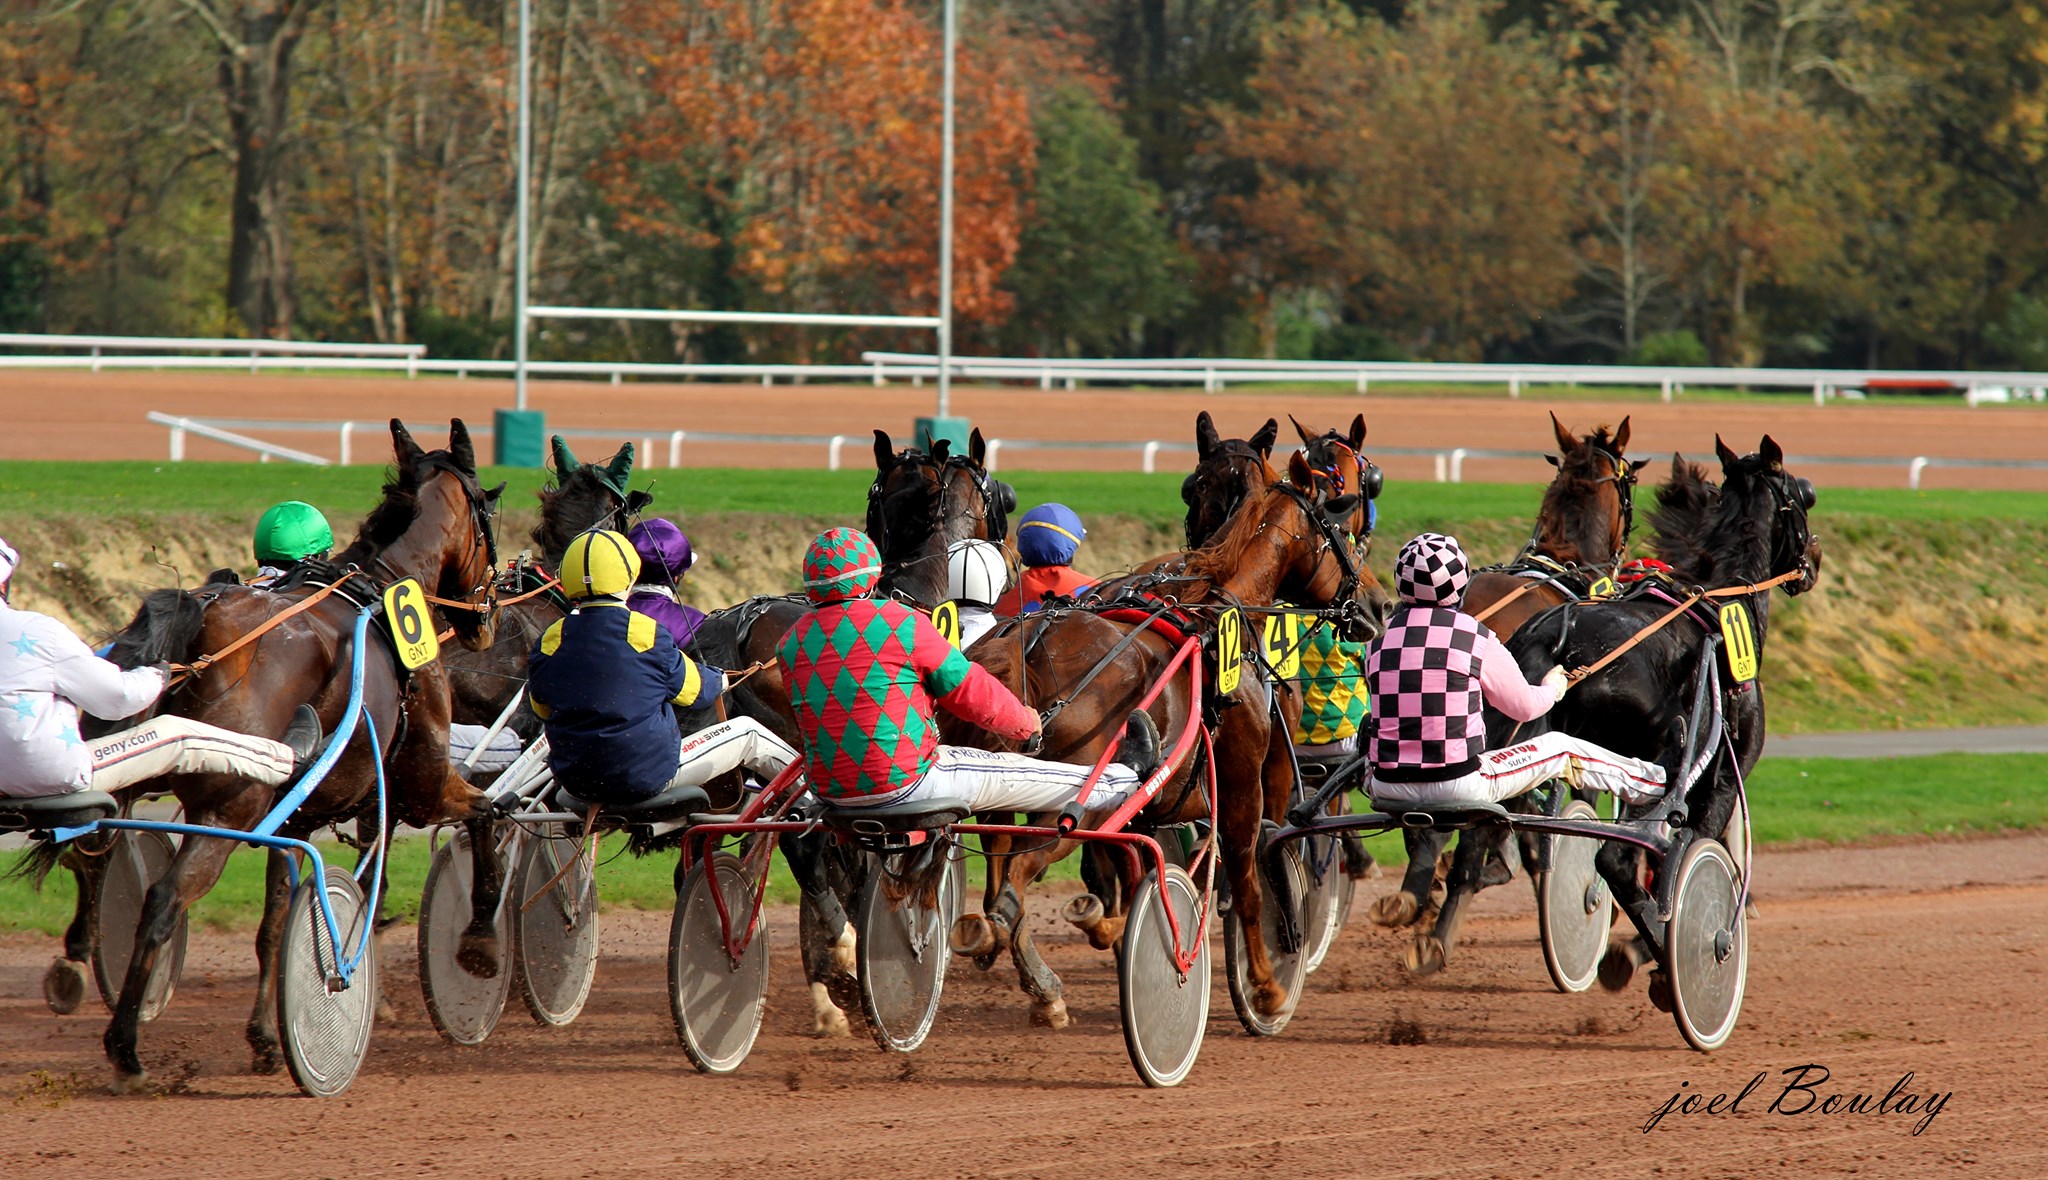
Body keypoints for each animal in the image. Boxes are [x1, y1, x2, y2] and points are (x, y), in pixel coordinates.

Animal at [69, 419, 503, 1089]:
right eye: (489, 510)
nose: (486, 617)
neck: (383, 590)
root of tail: (204, 628)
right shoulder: (422, 788)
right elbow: (484, 817)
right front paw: (479, 944)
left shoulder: (294, 819)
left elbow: (274, 924)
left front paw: (268, 1039)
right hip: (228, 810)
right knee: (162, 899)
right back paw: (125, 1045)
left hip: (131, 768)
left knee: (91, 856)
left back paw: (79, 959)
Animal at [958, 460, 1392, 1032]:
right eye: (1339, 527)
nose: (1379, 603)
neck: (1213, 617)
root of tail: (1024, 646)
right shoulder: (1241, 783)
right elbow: (1249, 883)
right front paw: (1266, 987)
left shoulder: (1148, 812)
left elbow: (1139, 871)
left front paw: (1118, 932)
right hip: (1082, 798)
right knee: (1014, 883)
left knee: (999, 880)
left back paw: (1034, 974)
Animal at [1409, 438, 1826, 983]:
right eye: (1803, 494)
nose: (1814, 555)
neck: (1719, 601)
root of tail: (1559, 634)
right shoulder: (1718, 775)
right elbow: (1684, 852)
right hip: (1655, 757)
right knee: (1615, 859)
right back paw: (1645, 946)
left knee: (1477, 830)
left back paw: (1435, 934)